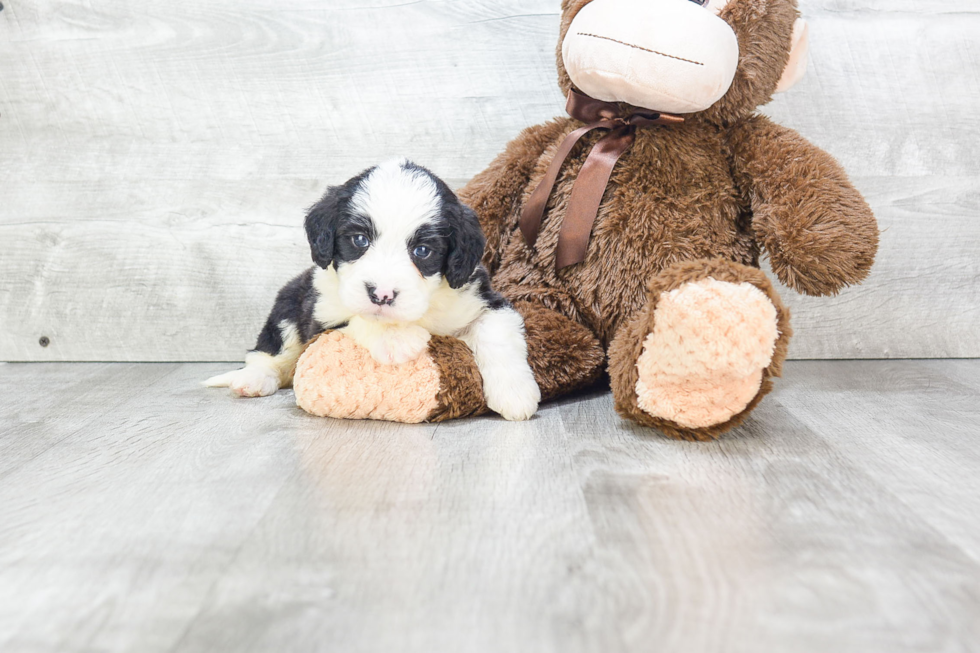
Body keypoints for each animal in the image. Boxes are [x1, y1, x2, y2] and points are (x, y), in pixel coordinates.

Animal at [208, 160, 544, 420]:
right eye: (360, 240)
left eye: (422, 250)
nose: (382, 294)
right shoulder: (320, 317)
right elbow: (358, 318)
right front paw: (396, 339)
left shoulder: (482, 298)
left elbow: (496, 332)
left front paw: (515, 393)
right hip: (289, 304)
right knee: (269, 351)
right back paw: (252, 379)